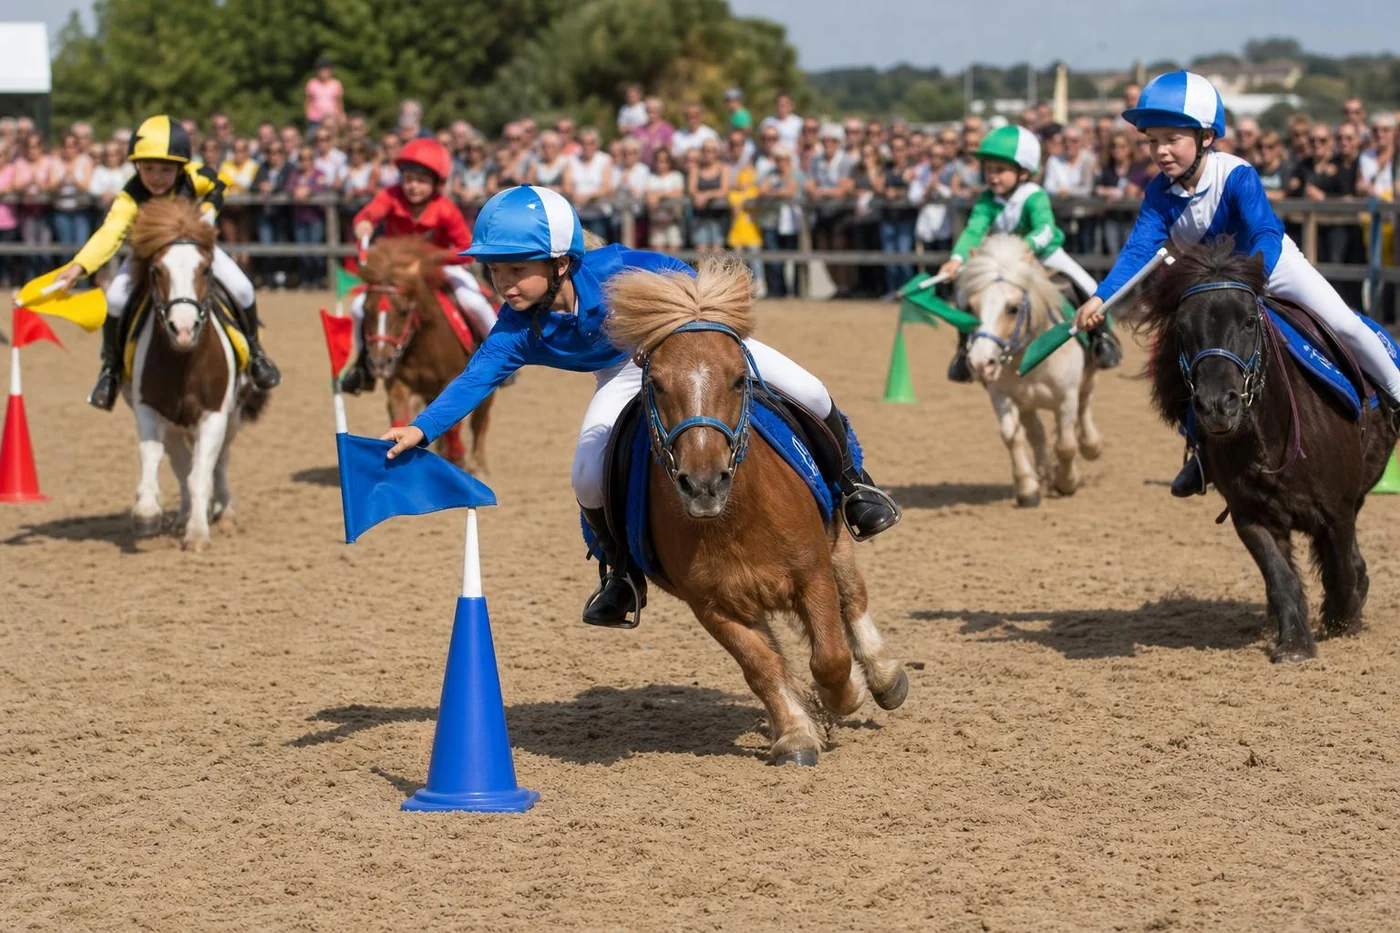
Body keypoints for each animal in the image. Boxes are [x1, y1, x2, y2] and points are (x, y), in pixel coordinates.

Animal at [124, 199, 268, 551]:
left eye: (204, 270)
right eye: (156, 271)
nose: (184, 329)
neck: (184, 362)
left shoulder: (214, 416)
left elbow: (202, 473)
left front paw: (199, 532)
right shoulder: (149, 409)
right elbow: (153, 455)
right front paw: (147, 513)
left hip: (232, 416)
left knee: (220, 461)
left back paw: (223, 512)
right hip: (175, 426)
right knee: (179, 462)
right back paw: (183, 514)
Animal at [359, 238, 492, 472]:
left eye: (403, 311)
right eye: (366, 310)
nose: (379, 362)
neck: (422, 346)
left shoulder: (451, 380)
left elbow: (454, 428)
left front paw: (457, 457)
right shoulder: (398, 384)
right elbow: (401, 417)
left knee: (480, 423)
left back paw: (478, 464)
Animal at [603, 256, 908, 766]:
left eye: (737, 379)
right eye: (657, 384)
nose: (704, 483)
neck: (734, 520)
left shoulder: (813, 574)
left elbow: (830, 658)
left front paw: (847, 694)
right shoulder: (713, 606)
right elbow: (763, 667)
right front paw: (797, 733)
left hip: (839, 541)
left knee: (854, 599)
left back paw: (885, 678)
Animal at [960, 234, 1103, 506]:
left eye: (1013, 308)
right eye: (970, 308)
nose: (981, 363)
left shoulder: (1066, 398)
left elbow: (1066, 445)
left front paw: (1068, 482)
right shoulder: (1002, 396)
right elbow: (1012, 436)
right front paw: (1028, 488)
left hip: (1087, 379)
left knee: (1086, 402)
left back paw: (1091, 446)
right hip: (1027, 403)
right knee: (1037, 434)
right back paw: (1044, 474)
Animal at [1140, 238, 1398, 662]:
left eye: (1248, 320)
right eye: (1183, 327)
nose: (1217, 404)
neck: (1270, 437)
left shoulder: (1338, 510)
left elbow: (1341, 569)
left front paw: (1343, 620)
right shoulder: (1251, 515)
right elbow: (1281, 577)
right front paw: (1294, 642)